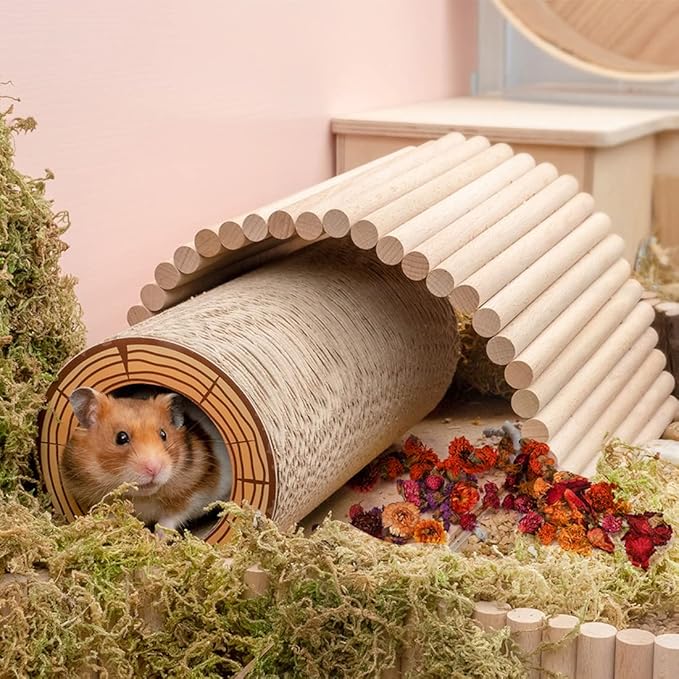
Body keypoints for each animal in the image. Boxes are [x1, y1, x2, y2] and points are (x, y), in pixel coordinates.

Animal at [60, 387, 232, 532]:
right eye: (121, 437)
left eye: (163, 434)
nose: (154, 469)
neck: (142, 497)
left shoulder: (196, 492)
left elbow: (169, 520)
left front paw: (158, 541)